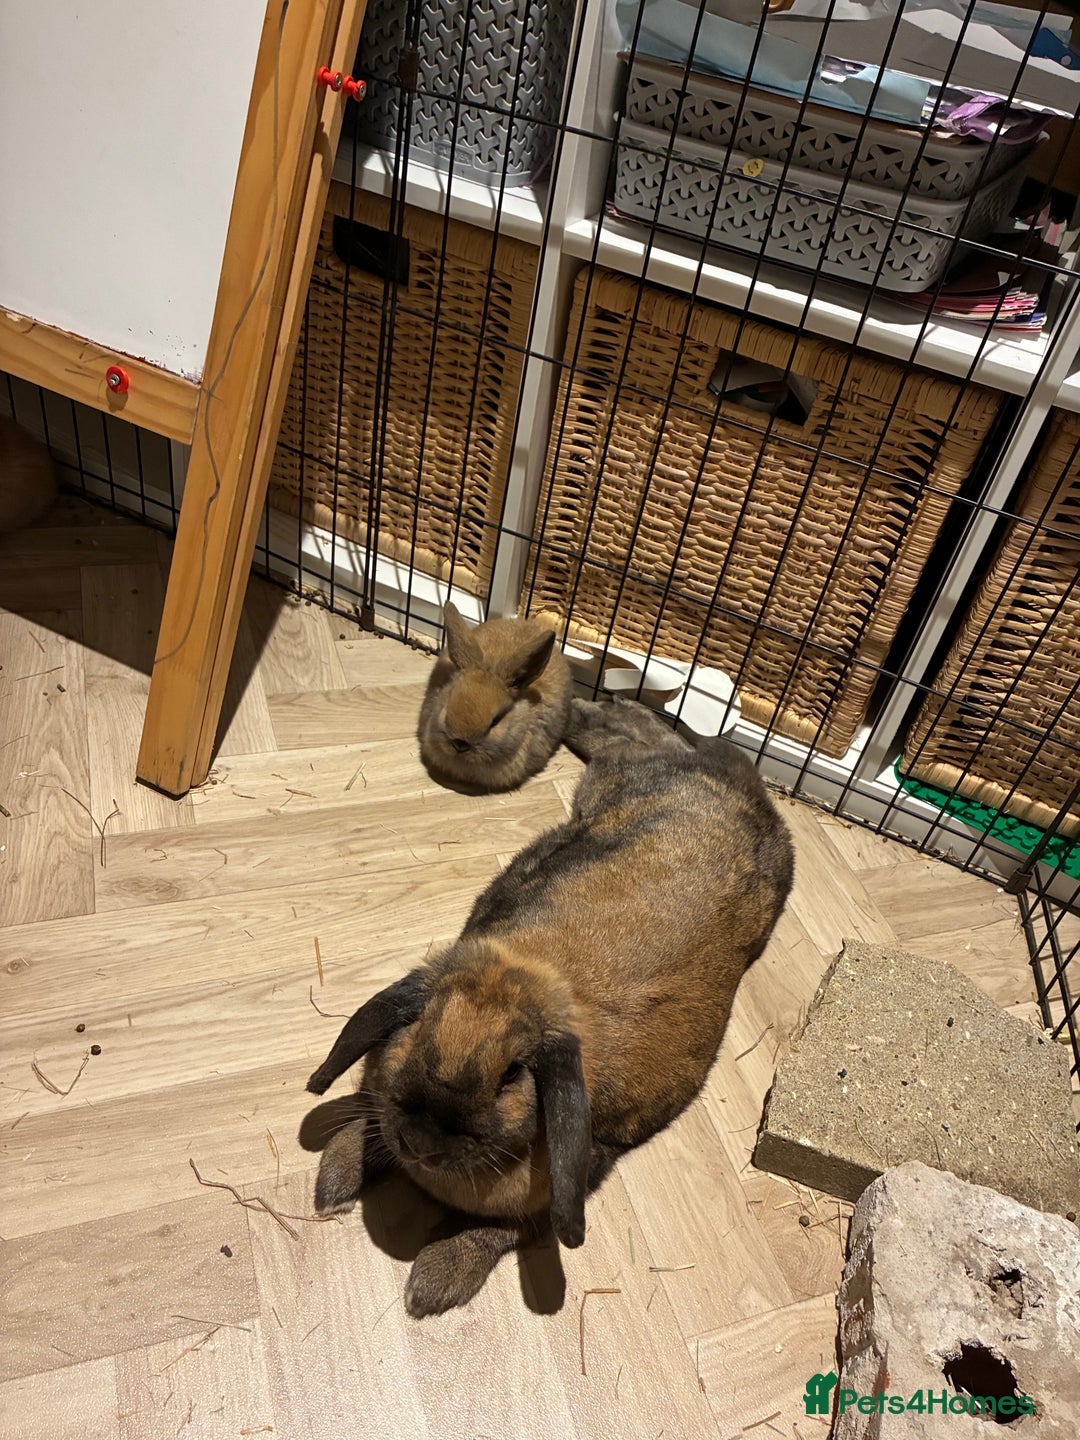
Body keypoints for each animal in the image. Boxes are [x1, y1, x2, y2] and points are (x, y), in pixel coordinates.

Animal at [307, 703, 794, 1317]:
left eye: (512, 1075)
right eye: (420, 1028)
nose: (421, 1142)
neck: (535, 979)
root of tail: (740, 782)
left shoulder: (576, 1174)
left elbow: (503, 1229)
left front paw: (433, 1285)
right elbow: (368, 1123)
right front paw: (335, 1181)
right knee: (633, 727)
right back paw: (591, 706)